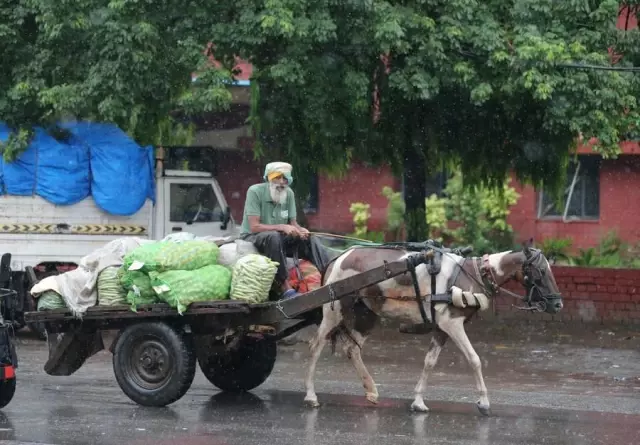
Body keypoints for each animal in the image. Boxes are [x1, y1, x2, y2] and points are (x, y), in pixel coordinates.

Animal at [302, 241, 564, 414]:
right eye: (541, 271)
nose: (558, 304)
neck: (476, 274)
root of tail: (338, 258)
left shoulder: (441, 328)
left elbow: (430, 361)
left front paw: (418, 401)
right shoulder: (452, 324)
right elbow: (474, 359)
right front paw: (484, 402)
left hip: (367, 314)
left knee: (352, 349)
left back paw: (371, 390)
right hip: (335, 310)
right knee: (315, 346)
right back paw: (311, 395)